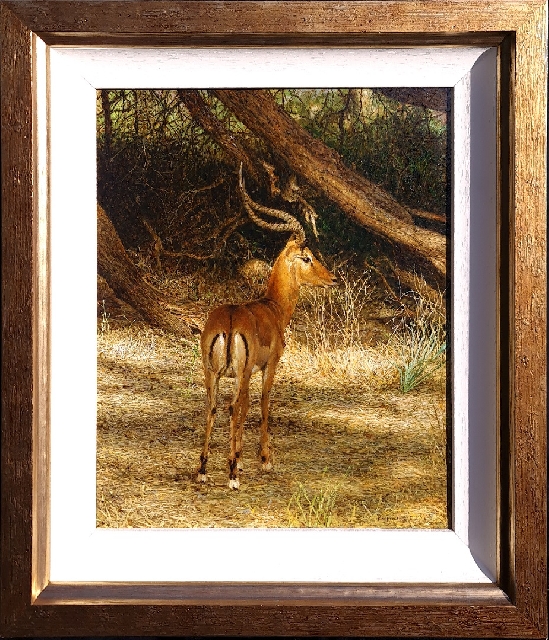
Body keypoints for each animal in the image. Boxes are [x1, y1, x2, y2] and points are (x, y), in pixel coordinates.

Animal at [197, 167, 337, 489]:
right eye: (307, 257)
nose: (332, 279)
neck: (272, 308)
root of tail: (229, 321)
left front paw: (239, 458)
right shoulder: (268, 366)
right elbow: (262, 404)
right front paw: (263, 460)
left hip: (212, 373)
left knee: (212, 407)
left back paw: (203, 470)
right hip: (240, 374)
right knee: (234, 407)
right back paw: (232, 477)